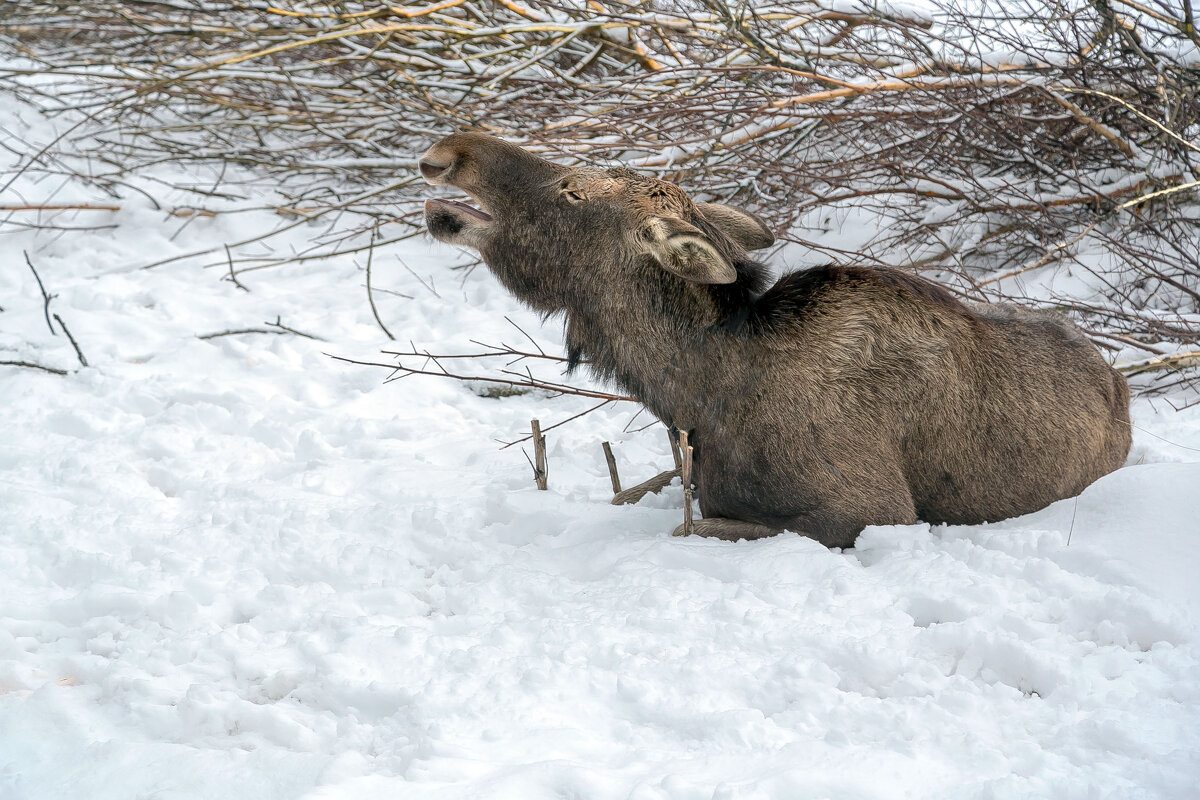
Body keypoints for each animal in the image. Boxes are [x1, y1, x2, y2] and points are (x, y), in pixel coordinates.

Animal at [420, 134, 1123, 546]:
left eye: (570, 189)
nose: (451, 149)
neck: (698, 393)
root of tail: (1119, 383)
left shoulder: (873, 510)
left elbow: (696, 529)